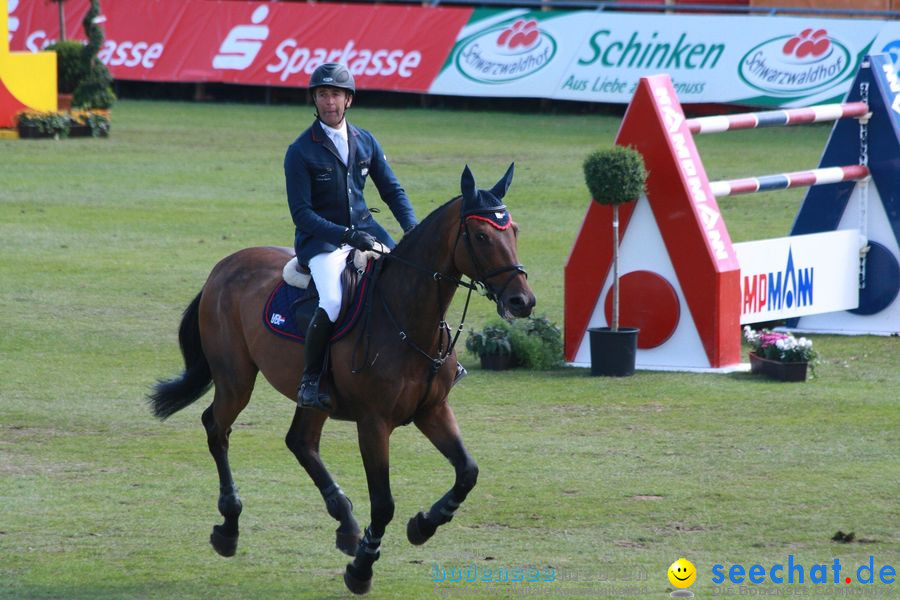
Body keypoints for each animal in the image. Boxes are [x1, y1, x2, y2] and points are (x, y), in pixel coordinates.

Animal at [148, 164, 536, 596]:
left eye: (514, 231)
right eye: (482, 236)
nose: (522, 301)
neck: (406, 315)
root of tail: (224, 266)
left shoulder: (432, 410)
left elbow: (467, 472)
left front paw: (423, 525)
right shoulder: (373, 423)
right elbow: (383, 502)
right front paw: (362, 568)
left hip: (314, 396)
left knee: (300, 442)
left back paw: (345, 522)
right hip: (236, 379)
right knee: (217, 428)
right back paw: (229, 526)